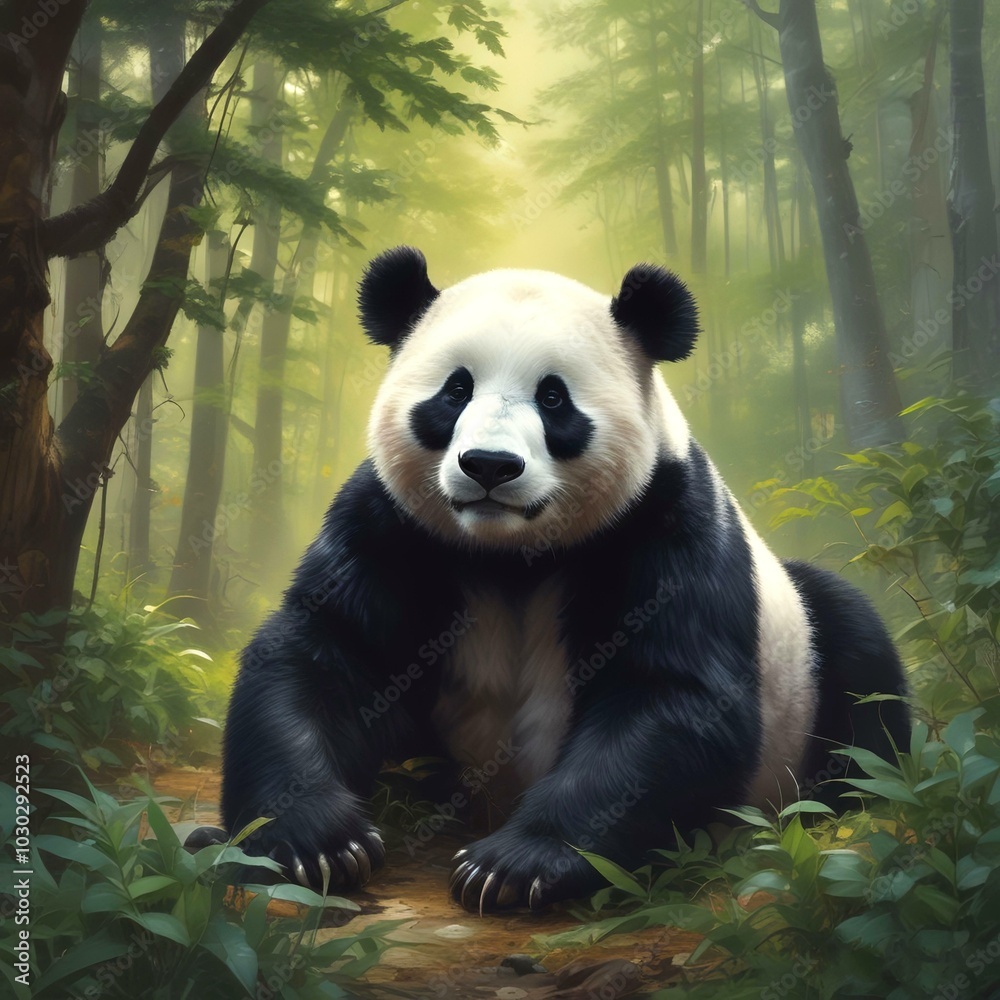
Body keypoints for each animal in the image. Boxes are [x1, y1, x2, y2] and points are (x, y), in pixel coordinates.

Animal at [213, 246, 910, 914]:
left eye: (553, 398)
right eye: (455, 390)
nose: (489, 465)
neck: (512, 553)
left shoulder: (666, 522)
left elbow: (669, 694)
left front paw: (511, 868)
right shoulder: (390, 524)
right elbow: (325, 653)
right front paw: (320, 844)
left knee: (859, 659)